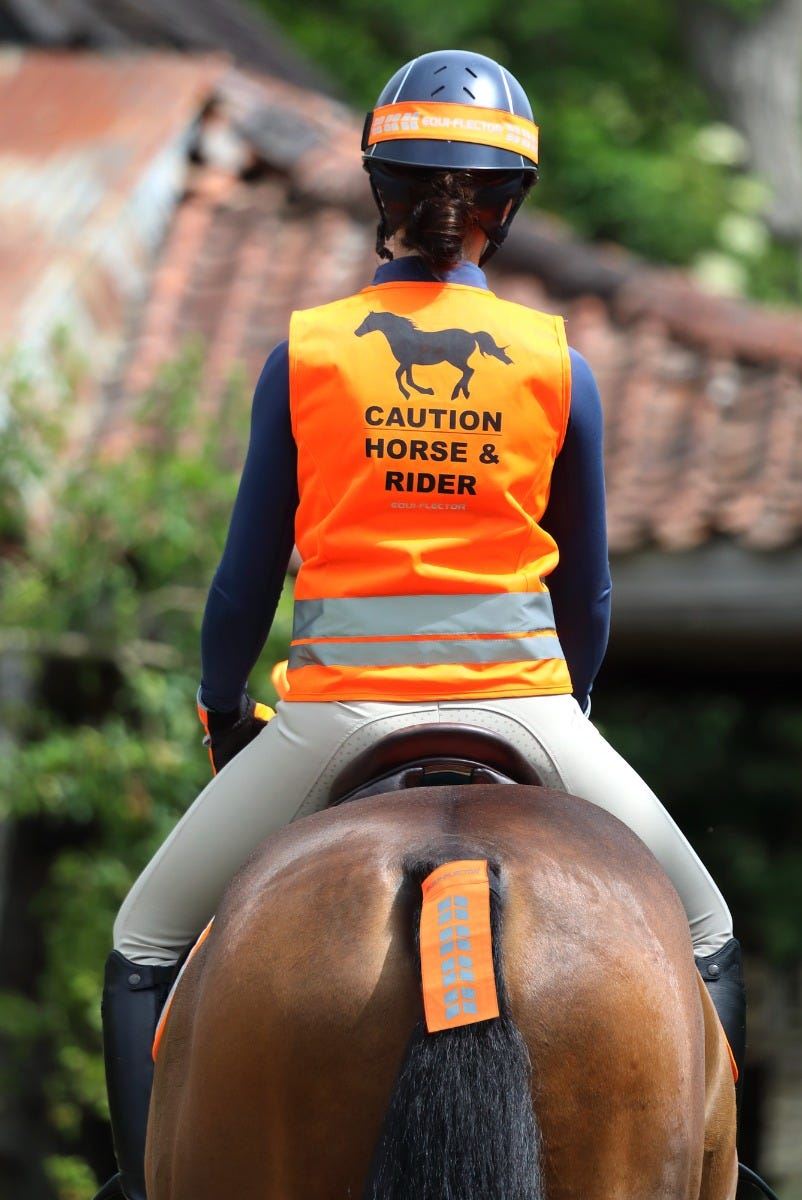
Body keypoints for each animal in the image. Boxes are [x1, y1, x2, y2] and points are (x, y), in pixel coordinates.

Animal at [355, 311, 513, 400]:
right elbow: (408, 379)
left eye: (367, 321)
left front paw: (408, 394)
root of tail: (471, 335)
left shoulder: (405, 362)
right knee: (469, 372)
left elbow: (399, 376)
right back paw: (462, 392)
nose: (356, 332)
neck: (402, 337)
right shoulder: (408, 363)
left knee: (469, 371)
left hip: (456, 360)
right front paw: (426, 391)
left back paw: (457, 393)